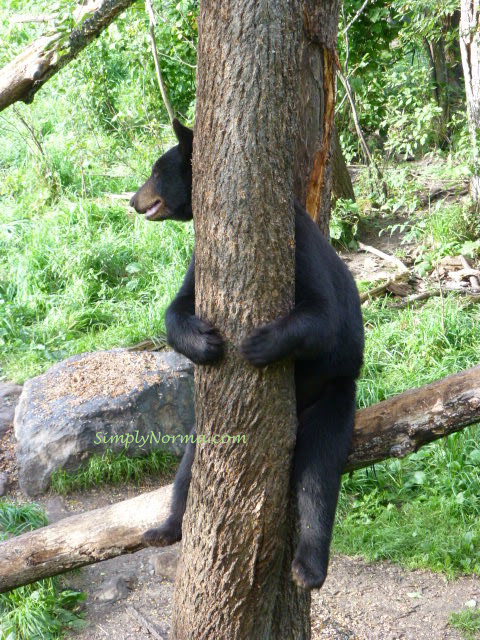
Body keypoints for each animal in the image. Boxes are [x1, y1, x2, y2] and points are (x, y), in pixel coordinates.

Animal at [129, 120, 362, 592]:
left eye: (156, 171)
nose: (133, 199)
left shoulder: (296, 243)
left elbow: (322, 314)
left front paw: (258, 343)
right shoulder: (203, 258)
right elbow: (179, 304)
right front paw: (205, 342)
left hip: (334, 394)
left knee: (317, 474)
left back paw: (308, 567)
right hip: (204, 436)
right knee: (189, 468)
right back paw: (166, 528)